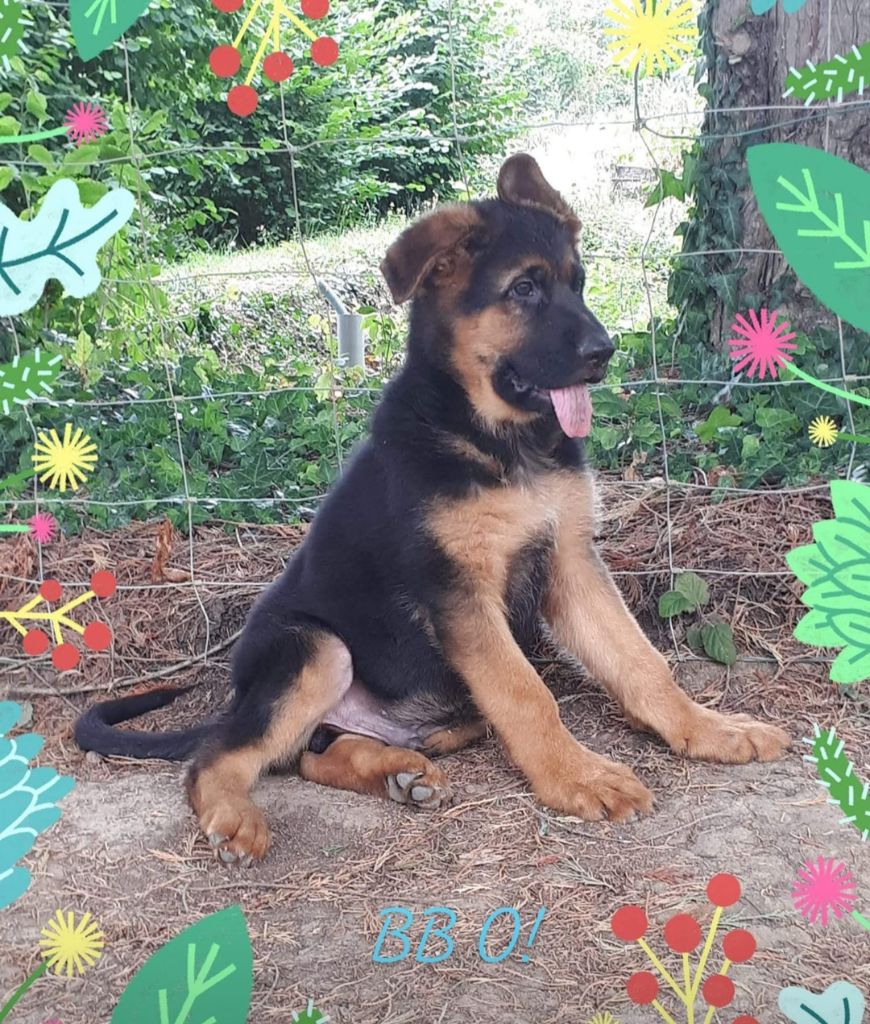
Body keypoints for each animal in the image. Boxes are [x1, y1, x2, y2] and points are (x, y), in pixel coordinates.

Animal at [77, 153, 790, 864]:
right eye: (524, 290)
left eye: (578, 283)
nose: (604, 353)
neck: (497, 440)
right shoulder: (459, 591)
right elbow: (528, 694)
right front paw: (579, 777)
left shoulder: (570, 559)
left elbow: (641, 663)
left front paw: (709, 729)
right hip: (315, 651)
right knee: (219, 755)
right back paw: (235, 816)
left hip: (433, 711)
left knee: (311, 755)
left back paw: (399, 771)